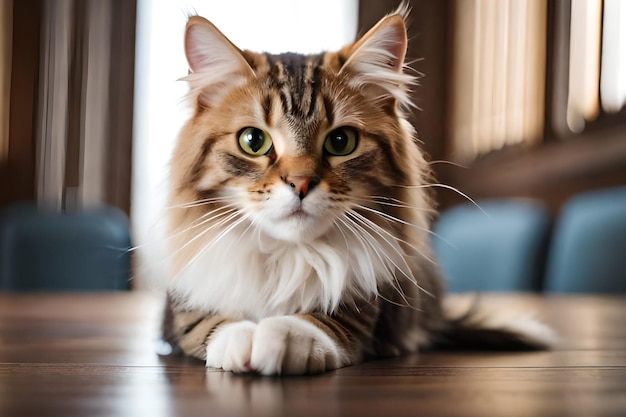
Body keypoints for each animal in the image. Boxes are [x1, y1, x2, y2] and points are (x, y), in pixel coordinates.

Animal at [161, 4, 552, 376]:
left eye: (341, 142)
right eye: (254, 141)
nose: (301, 183)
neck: (290, 254)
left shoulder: (371, 303)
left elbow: (327, 321)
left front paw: (283, 336)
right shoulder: (180, 310)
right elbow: (207, 321)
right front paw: (240, 338)